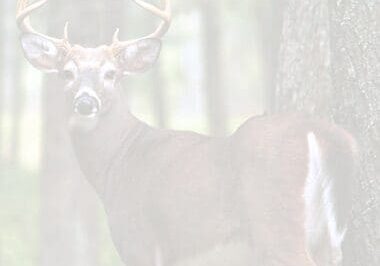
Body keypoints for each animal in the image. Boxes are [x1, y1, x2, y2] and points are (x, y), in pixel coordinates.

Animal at [16, 0, 358, 266]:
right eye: (67, 73)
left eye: (111, 73)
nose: (86, 101)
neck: (118, 161)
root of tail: (315, 128)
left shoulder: (138, 238)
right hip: (326, 235)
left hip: (276, 219)